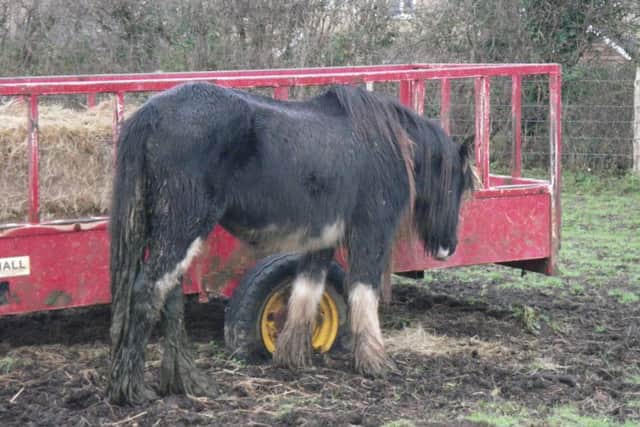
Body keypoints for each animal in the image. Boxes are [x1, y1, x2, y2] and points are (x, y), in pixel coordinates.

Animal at [107, 82, 475, 404]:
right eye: (459, 184)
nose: (449, 247)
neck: (386, 144)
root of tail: (150, 114)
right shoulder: (370, 235)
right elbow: (363, 294)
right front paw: (375, 362)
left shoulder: (322, 240)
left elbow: (306, 291)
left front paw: (292, 355)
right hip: (183, 228)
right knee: (147, 290)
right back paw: (132, 390)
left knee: (169, 295)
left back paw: (186, 382)